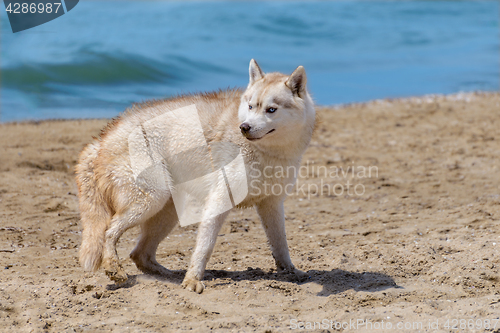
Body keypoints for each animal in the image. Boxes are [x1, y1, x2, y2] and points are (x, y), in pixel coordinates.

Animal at [75, 59, 314, 294]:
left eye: (271, 110)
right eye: (250, 106)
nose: (244, 127)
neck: (268, 153)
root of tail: (101, 140)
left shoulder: (272, 204)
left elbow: (280, 244)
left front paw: (291, 271)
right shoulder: (219, 199)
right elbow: (204, 247)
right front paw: (192, 280)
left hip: (166, 212)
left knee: (139, 254)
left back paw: (167, 275)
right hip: (151, 200)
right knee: (109, 232)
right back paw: (115, 268)